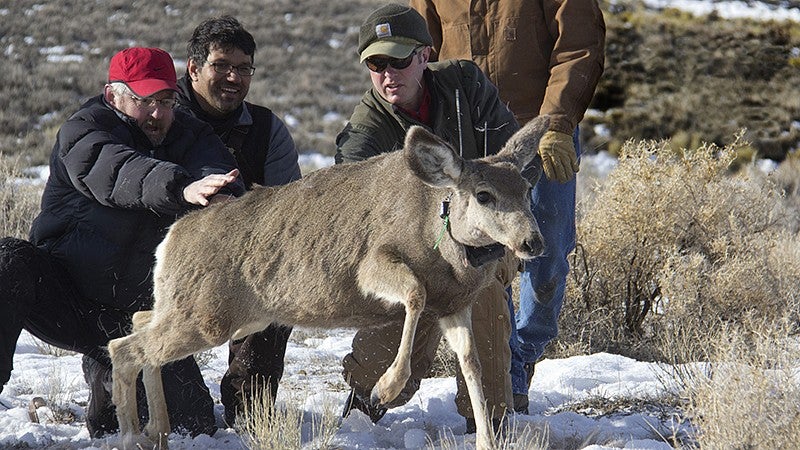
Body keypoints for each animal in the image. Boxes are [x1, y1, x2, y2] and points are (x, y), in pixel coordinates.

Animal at [106, 115, 552, 446]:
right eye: (483, 195)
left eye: (527, 188)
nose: (533, 242)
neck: (434, 228)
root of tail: (171, 238)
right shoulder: (372, 265)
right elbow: (414, 293)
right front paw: (386, 387)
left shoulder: (455, 304)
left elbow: (472, 362)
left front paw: (486, 441)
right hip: (206, 315)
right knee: (123, 347)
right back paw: (130, 436)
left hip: (220, 313)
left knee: (140, 324)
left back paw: (156, 429)